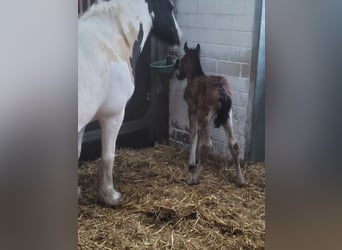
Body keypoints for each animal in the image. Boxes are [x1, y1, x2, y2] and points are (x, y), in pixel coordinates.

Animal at [79, 0, 183, 207]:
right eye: (170, 7)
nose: (180, 38)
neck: (109, 44)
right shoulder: (113, 115)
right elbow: (108, 156)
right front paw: (110, 196)